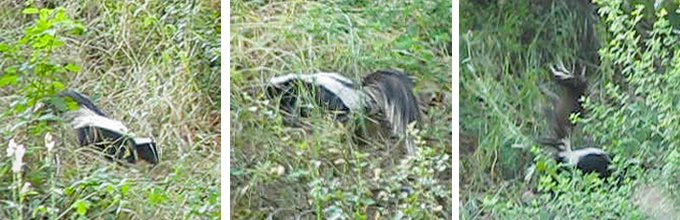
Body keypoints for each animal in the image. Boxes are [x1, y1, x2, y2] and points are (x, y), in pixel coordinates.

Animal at [266, 70, 420, 155]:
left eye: (271, 90)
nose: (265, 93)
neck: (296, 80)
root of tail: (361, 92)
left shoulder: (305, 94)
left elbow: (300, 108)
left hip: (345, 109)